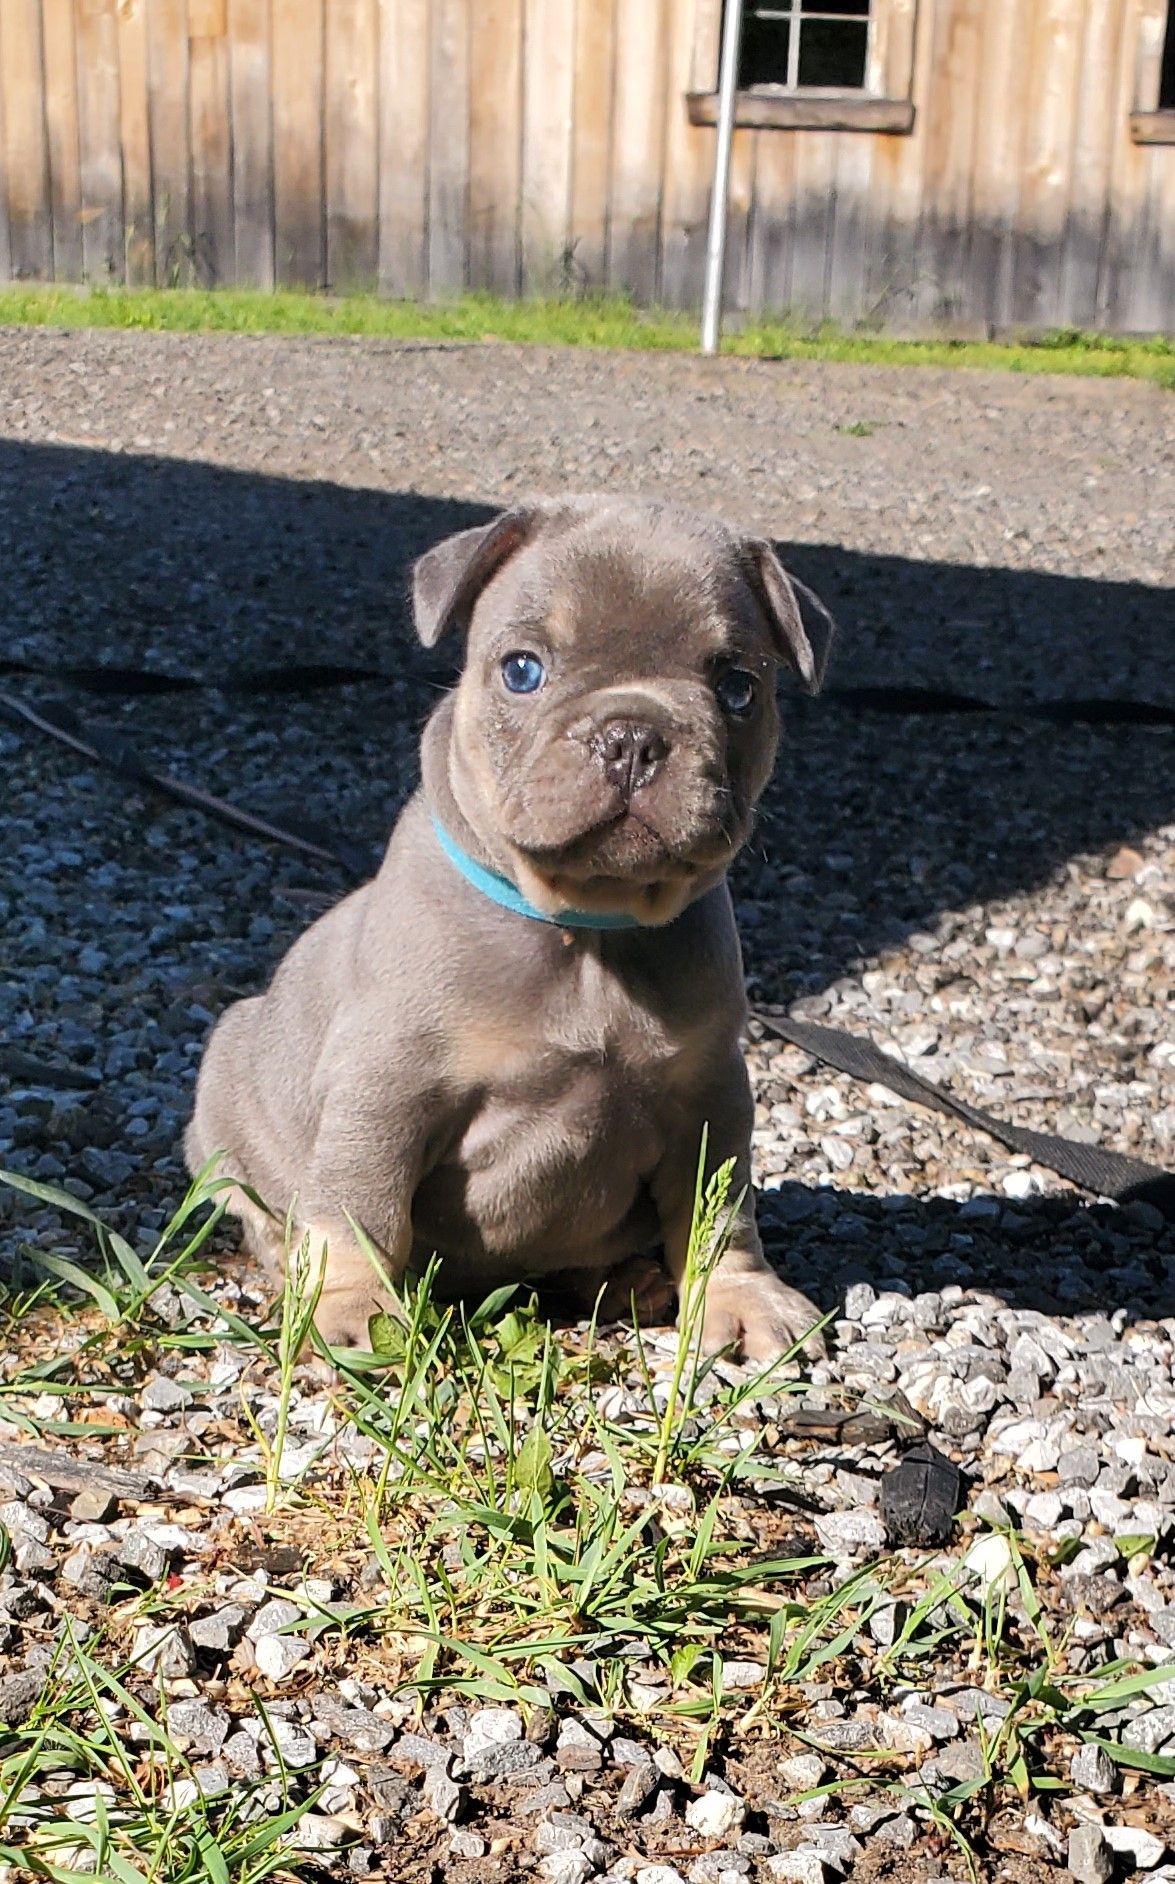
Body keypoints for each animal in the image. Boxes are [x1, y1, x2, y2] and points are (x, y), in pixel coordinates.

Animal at [185, 497, 836, 1356]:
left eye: (736, 688)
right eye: (522, 670)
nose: (631, 735)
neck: (589, 929)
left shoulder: (710, 1094)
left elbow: (718, 1213)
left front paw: (741, 1295)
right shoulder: (384, 1085)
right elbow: (361, 1203)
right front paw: (356, 1307)